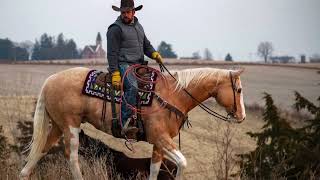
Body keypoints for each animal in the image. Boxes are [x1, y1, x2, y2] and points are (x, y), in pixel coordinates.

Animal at [19, 66, 245, 180]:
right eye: (239, 90)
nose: (242, 116)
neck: (173, 94)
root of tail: (51, 79)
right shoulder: (161, 139)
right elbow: (182, 163)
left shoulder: (159, 143)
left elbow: (154, 170)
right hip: (70, 126)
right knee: (72, 157)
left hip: (58, 126)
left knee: (40, 150)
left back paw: (23, 175)